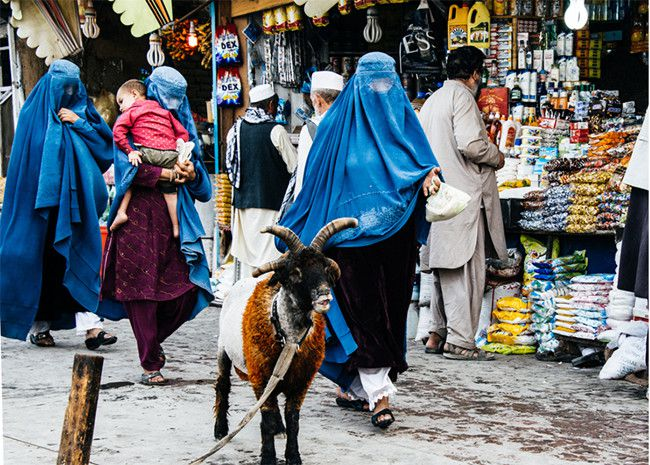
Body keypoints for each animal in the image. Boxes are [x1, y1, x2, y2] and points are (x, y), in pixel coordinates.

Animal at [211, 218, 354, 464]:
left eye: (325, 268)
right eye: (295, 272)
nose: (325, 295)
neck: (288, 337)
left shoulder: (301, 382)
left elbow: (293, 420)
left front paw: (293, 456)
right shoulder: (260, 375)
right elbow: (266, 419)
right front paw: (268, 457)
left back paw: (279, 428)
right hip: (223, 349)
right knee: (222, 385)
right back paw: (220, 429)